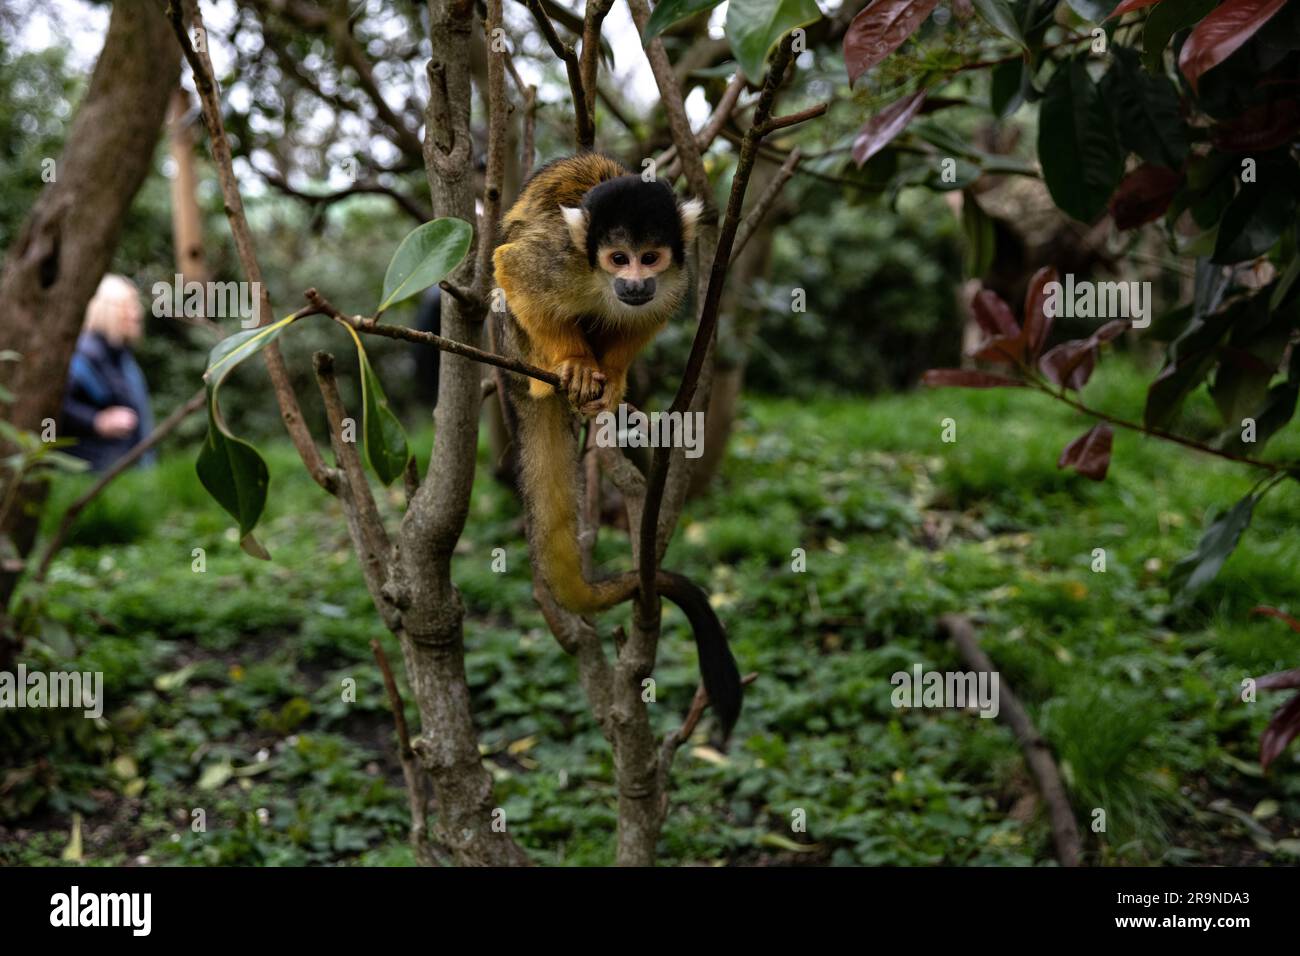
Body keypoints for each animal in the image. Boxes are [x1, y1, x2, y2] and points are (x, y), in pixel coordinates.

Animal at [493, 155, 743, 738]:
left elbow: (651, 315)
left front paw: (613, 374)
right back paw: (554, 377)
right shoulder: (561, 261)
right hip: (510, 341)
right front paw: (576, 363)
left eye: (649, 257)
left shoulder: (674, 278)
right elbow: (513, 265)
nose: (634, 281)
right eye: (618, 258)